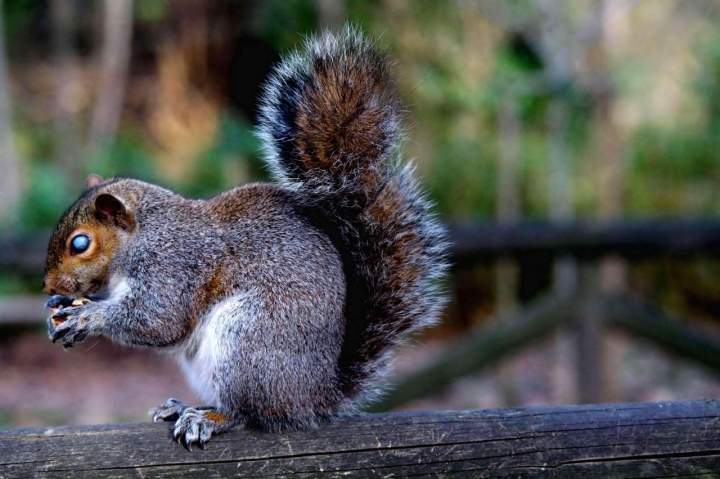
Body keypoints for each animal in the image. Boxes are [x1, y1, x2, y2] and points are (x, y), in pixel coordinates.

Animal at [42, 26, 448, 448]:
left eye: (80, 243)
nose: (48, 285)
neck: (145, 238)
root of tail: (313, 397)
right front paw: (60, 306)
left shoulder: (175, 268)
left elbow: (159, 320)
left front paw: (87, 316)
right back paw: (183, 406)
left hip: (248, 342)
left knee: (249, 414)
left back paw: (208, 418)